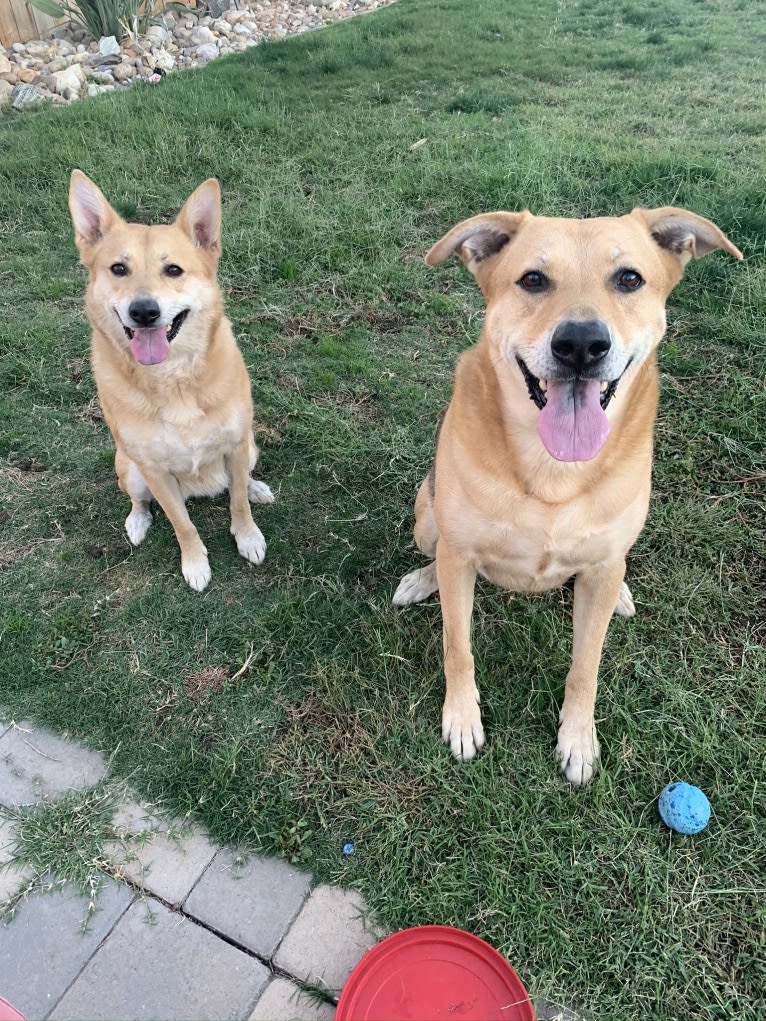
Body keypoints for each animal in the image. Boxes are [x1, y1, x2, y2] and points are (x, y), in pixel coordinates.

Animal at [67, 168, 273, 592]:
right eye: (118, 269)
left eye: (173, 270)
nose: (144, 311)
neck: (173, 379)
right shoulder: (154, 471)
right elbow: (182, 524)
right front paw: (195, 564)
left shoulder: (235, 444)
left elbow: (238, 503)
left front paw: (248, 536)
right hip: (129, 469)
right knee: (140, 500)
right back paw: (137, 521)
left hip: (249, 447)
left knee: (239, 483)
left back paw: (256, 487)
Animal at [396, 205, 743, 780]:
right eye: (533, 280)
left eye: (629, 279)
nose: (581, 344)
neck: (553, 471)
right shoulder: (461, 553)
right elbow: (457, 645)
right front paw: (463, 718)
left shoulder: (599, 569)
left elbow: (587, 664)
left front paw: (578, 739)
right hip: (427, 518)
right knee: (437, 553)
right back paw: (423, 579)